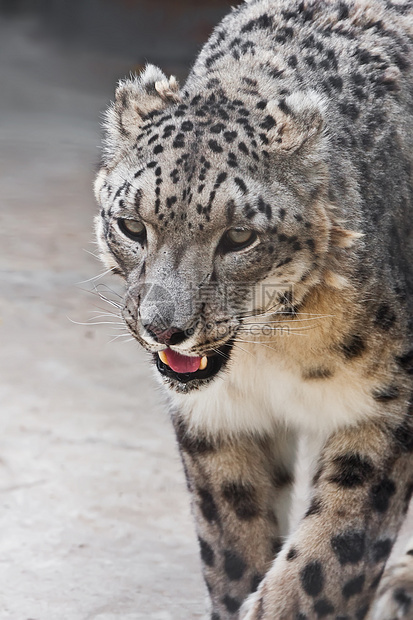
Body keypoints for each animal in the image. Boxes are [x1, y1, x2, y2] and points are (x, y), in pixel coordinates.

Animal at [93, 2, 412, 616]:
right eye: (131, 226)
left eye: (239, 236)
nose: (164, 327)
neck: (279, 350)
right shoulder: (221, 418)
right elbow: (235, 540)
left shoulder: (386, 411)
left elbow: (325, 561)